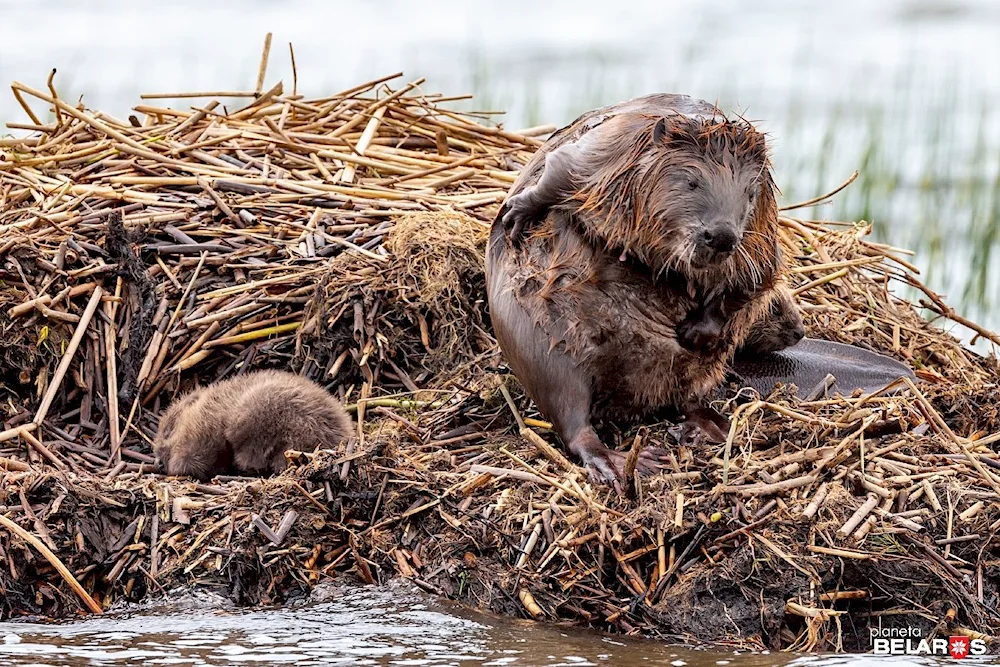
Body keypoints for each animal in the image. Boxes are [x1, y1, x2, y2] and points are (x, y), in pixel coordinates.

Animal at [486, 94, 788, 488]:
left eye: (749, 193)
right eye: (691, 182)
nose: (721, 236)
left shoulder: (763, 228)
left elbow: (757, 277)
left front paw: (694, 332)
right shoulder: (610, 153)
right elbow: (560, 169)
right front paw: (516, 214)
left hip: (694, 379)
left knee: (688, 399)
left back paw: (704, 430)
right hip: (545, 355)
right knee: (572, 422)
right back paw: (624, 462)